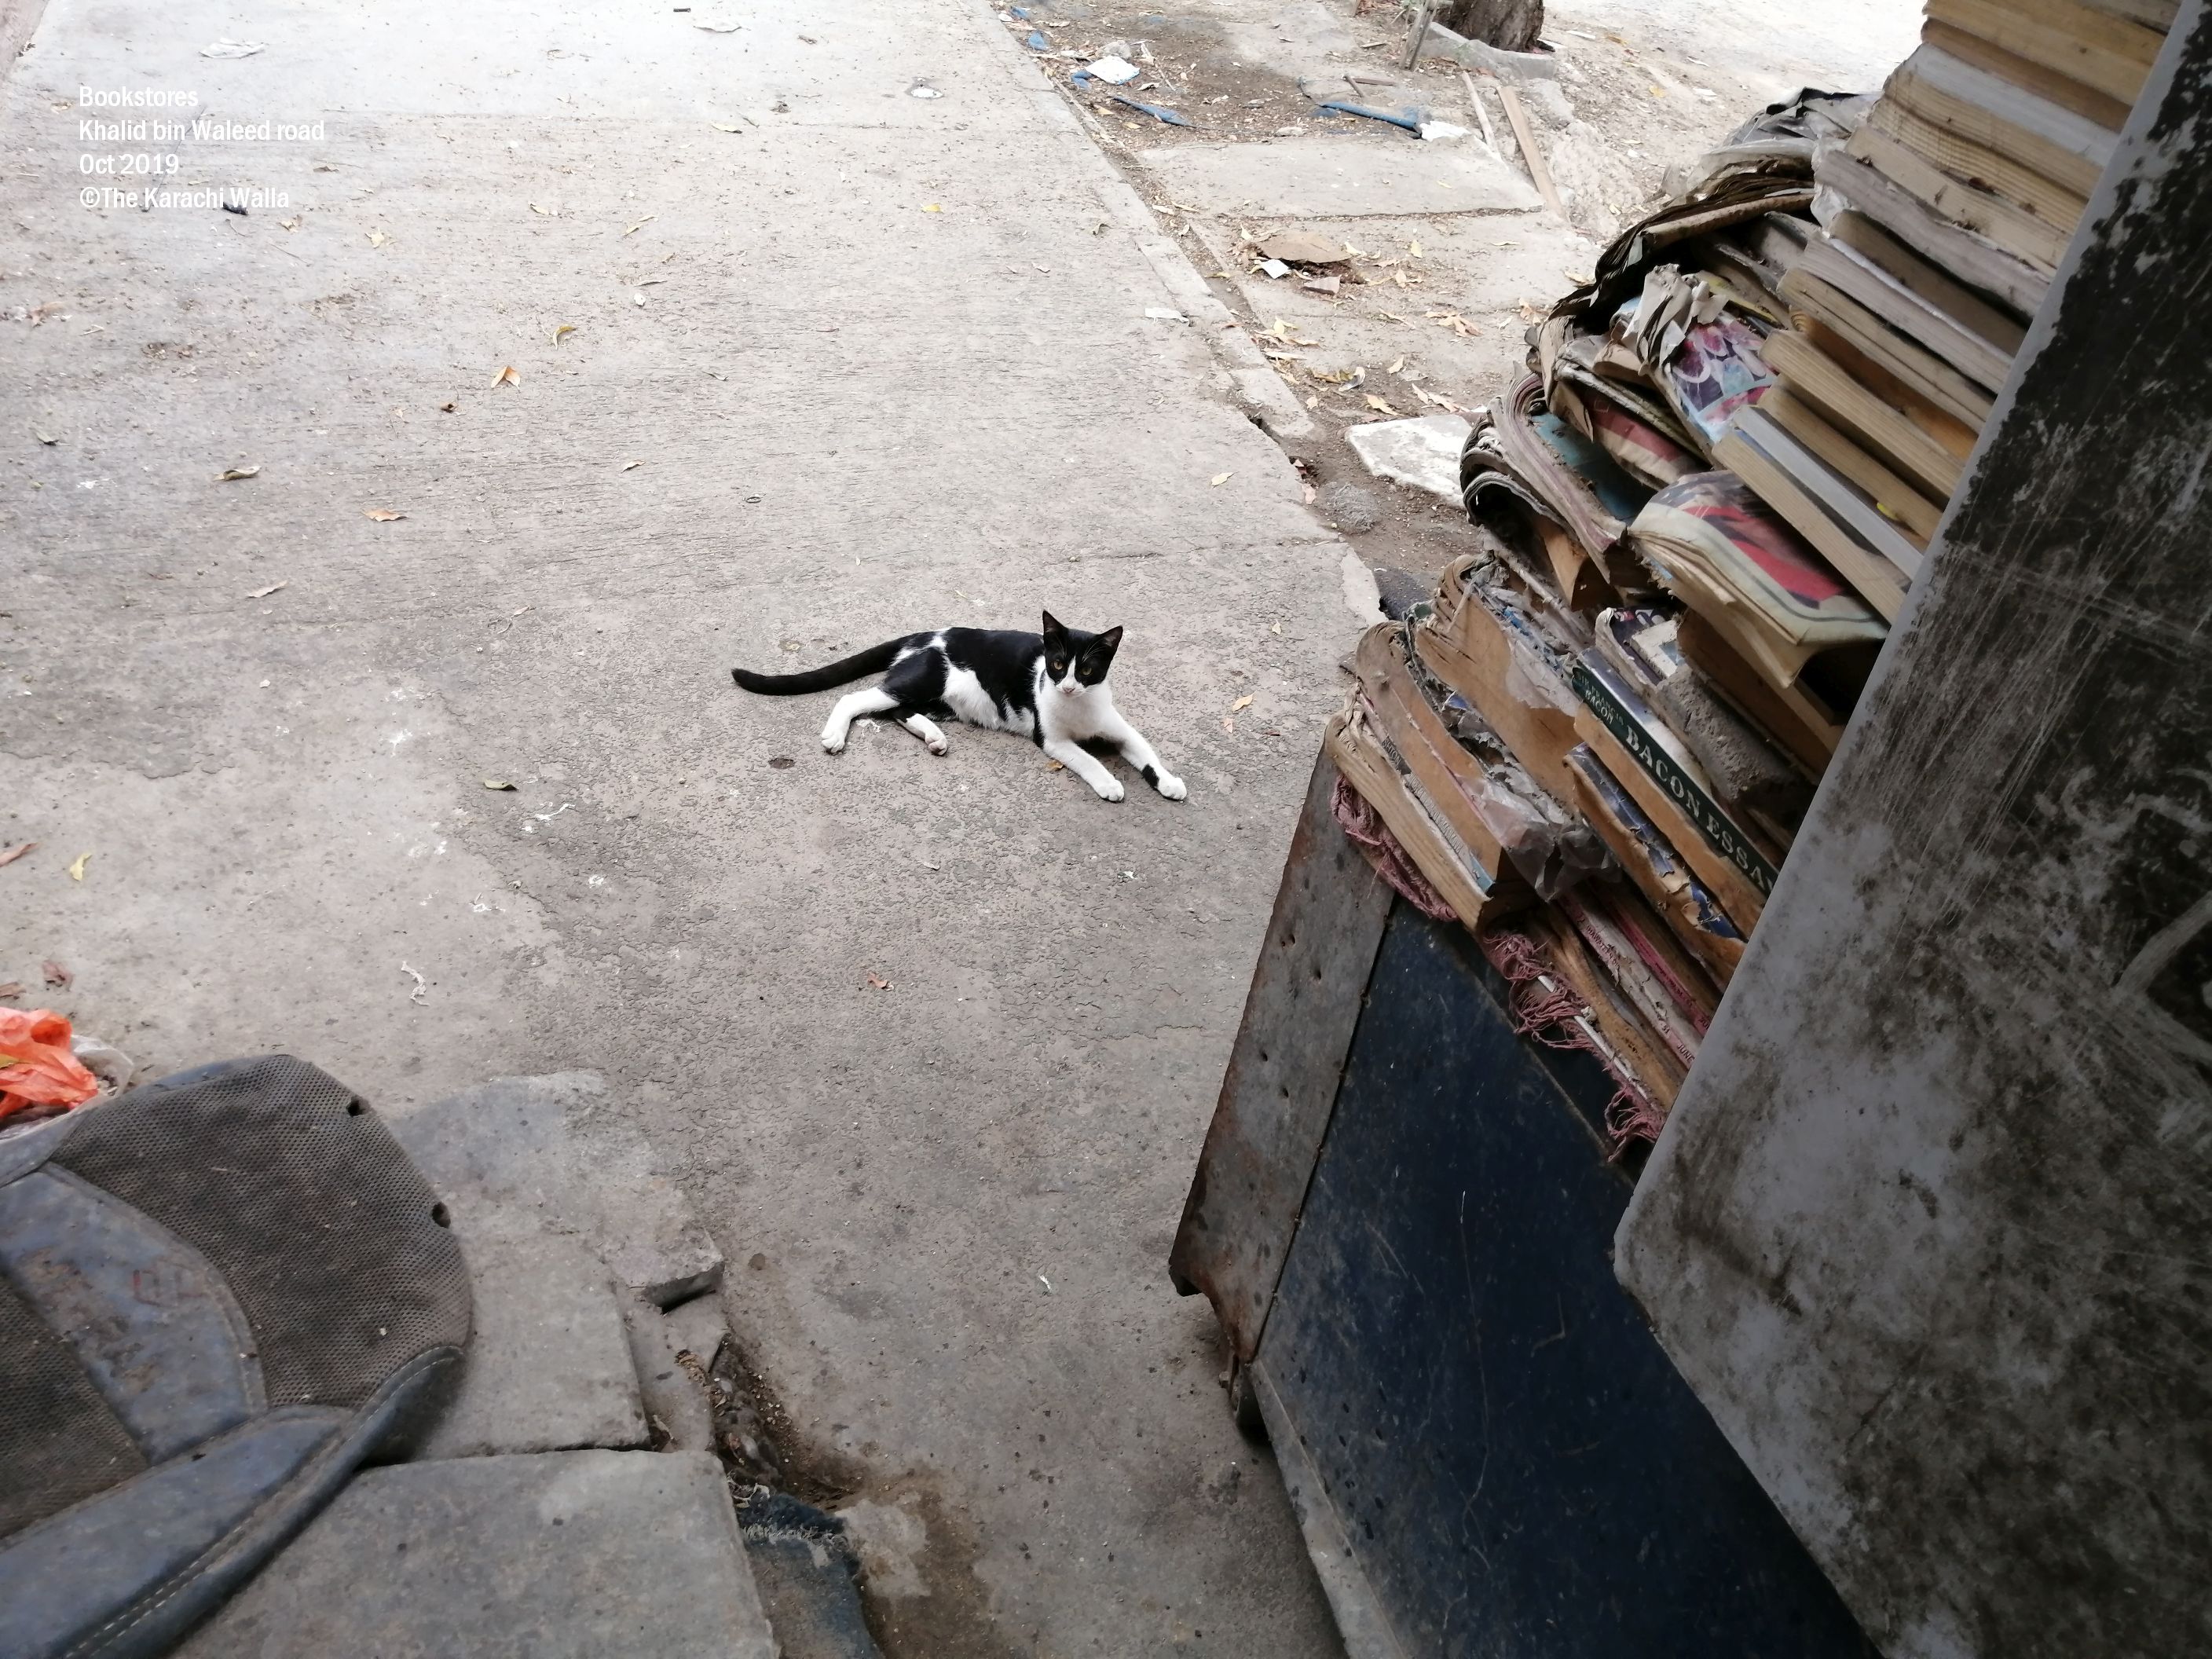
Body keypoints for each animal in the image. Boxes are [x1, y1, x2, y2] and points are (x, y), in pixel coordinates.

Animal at [732, 611, 1186, 804]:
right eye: (1058, 665)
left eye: (1088, 670)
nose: (1070, 686)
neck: (1080, 709)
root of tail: (924, 633)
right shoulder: (1053, 741)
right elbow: (1089, 759)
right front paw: (1110, 783)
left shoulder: (1121, 729)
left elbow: (1146, 753)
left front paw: (1169, 782)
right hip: (923, 680)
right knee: (857, 699)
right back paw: (834, 735)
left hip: (938, 700)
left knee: (894, 711)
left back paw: (934, 737)